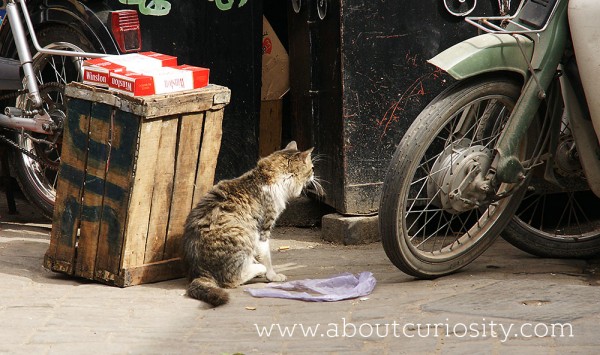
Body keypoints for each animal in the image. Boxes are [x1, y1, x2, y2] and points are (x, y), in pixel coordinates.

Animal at [183, 140, 322, 308]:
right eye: (312, 168)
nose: (314, 174)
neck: (266, 177)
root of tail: (200, 272)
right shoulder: (263, 229)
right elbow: (266, 257)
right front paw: (272, 275)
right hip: (243, 234)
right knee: (233, 279)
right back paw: (257, 269)